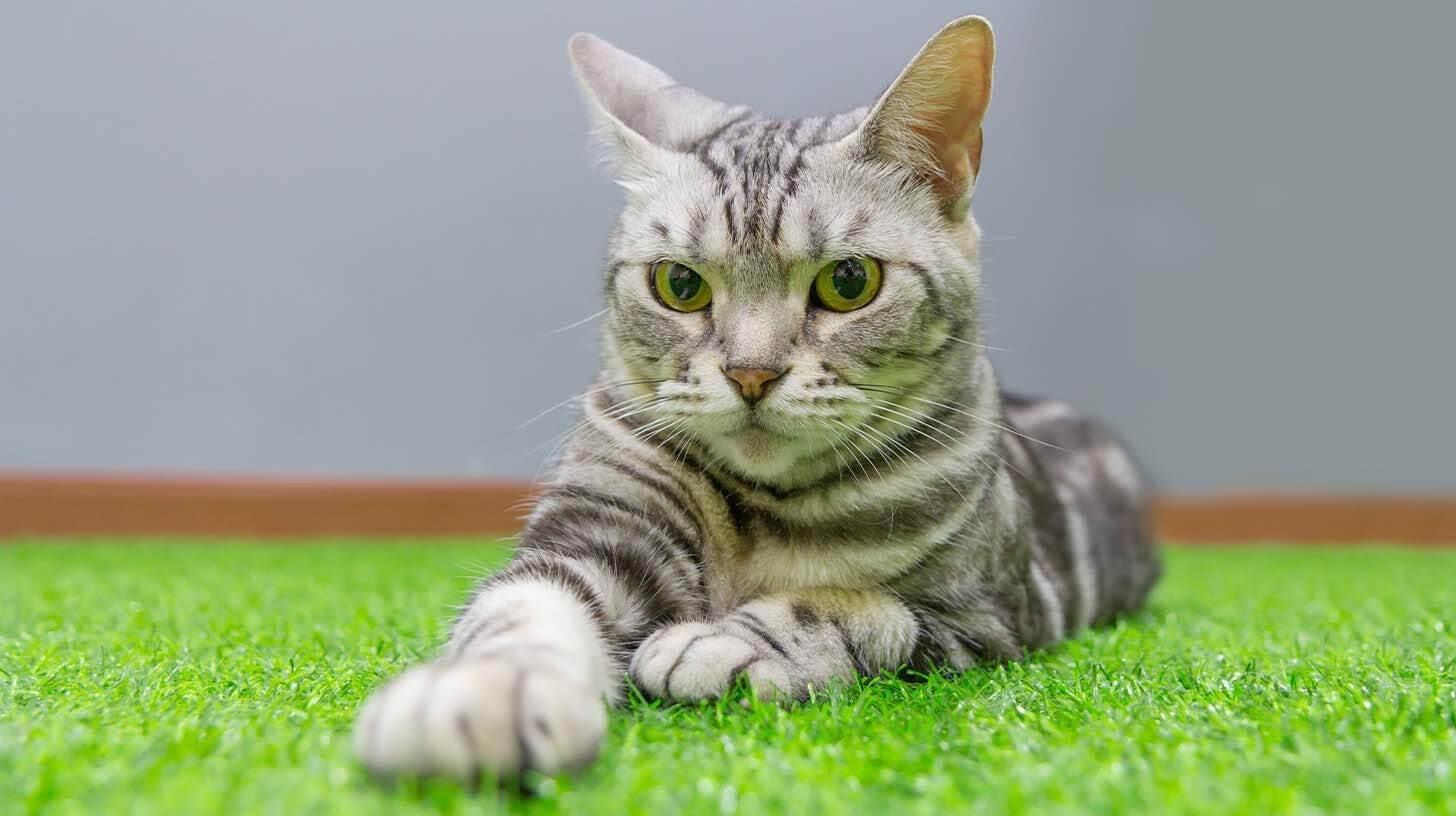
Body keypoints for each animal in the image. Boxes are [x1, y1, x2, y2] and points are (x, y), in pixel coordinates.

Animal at [352, 17, 1158, 786]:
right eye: (679, 285)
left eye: (849, 281)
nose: (750, 373)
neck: (767, 517)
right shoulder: (596, 528)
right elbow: (523, 610)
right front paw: (480, 694)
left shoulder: (985, 621)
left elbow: (858, 607)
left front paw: (725, 641)